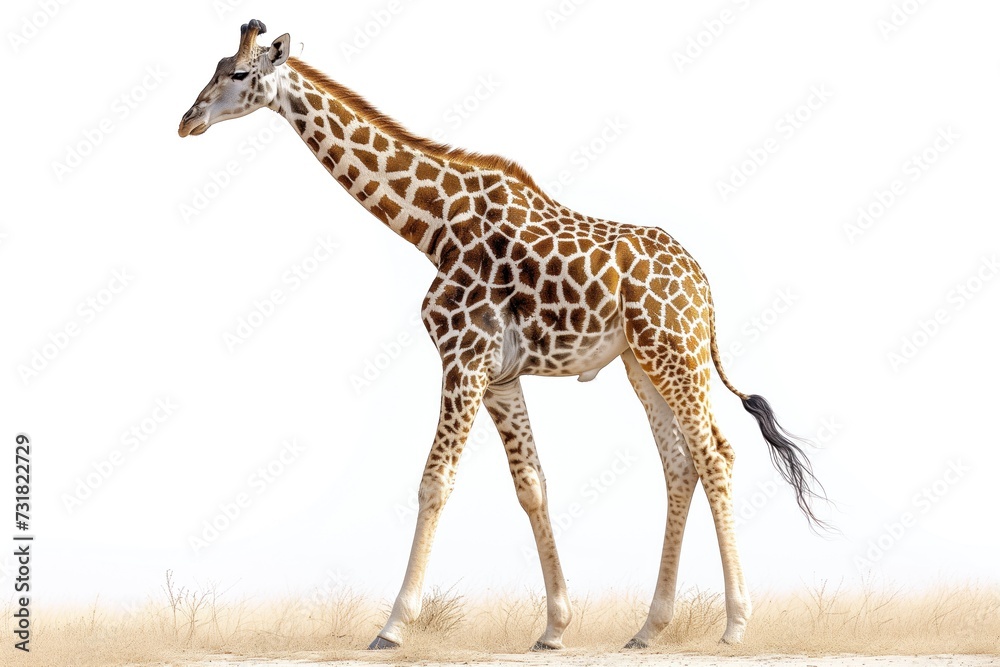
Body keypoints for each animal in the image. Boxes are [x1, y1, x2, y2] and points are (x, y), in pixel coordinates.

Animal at [179, 19, 828, 651]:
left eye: (239, 73)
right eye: (216, 67)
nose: (188, 120)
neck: (432, 226)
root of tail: (704, 287)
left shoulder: (463, 359)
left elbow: (434, 483)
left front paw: (392, 627)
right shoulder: (498, 376)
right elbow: (531, 486)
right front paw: (554, 627)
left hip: (677, 353)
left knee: (715, 453)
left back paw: (736, 623)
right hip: (642, 362)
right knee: (679, 462)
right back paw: (648, 629)